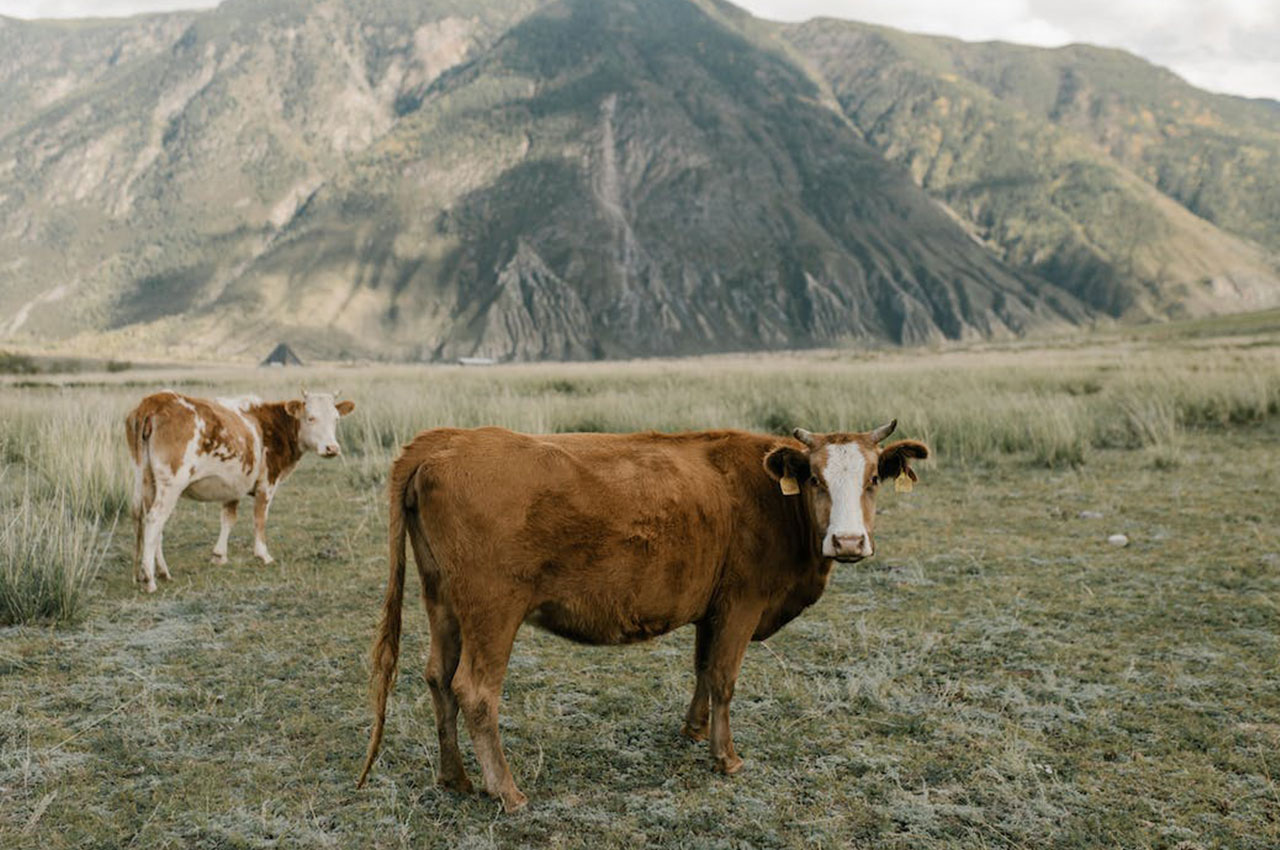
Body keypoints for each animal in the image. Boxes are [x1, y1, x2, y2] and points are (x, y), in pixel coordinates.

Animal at [125, 389, 355, 591]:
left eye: (336, 419)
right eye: (310, 418)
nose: (332, 448)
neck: (273, 425)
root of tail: (155, 400)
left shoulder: (232, 484)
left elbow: (228, 518)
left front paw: (219, 555)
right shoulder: (267, 482)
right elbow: (260, 518)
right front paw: (263, 554)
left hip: (147, 480)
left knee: (148, 521)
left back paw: (157, 572)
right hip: (171, 483)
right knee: (155, 519)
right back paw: (150, 579)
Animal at [355, 422, 926, 809]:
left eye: (874, 479)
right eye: (814, 479)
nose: (848, 541)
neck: (770, 500)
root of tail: (447, 438)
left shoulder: (711, 607)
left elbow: (702, 669)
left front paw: (694, 731)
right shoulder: (742, 603)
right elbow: (724, 678)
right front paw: (726, 758)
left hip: (442, 602)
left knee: (438, 678)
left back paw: (455, 778)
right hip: (493, 611)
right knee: (473, 690)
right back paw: (508, 791)